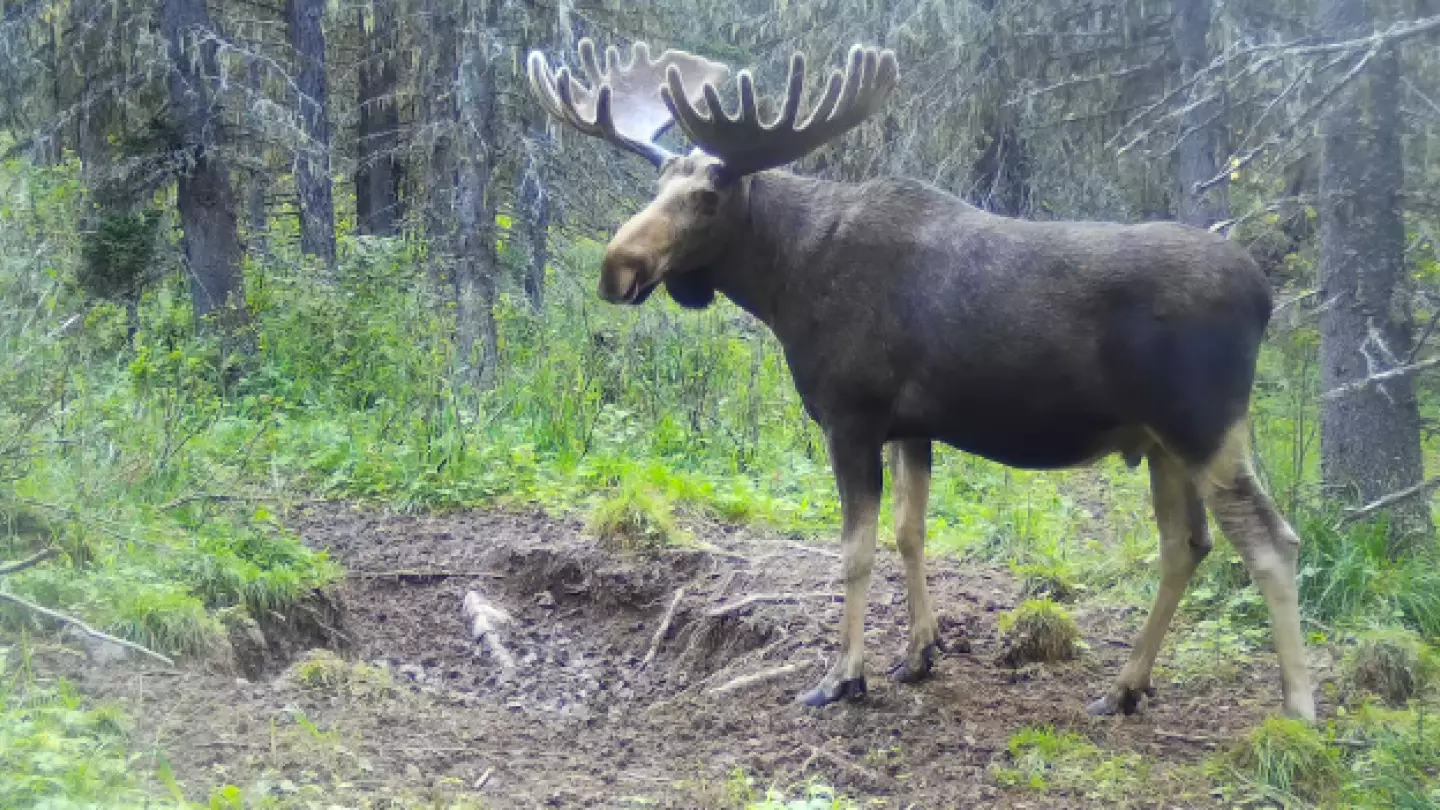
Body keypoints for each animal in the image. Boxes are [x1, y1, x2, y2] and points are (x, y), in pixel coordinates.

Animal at [527, 37, 1319, 717]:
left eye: (709, 197)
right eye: (659, 182)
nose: (617, 267)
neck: (784, 285)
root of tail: (1264, 297)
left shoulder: (850, 414)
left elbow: (855, 550)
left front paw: (843, 677)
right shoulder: (913, 425)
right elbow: (910, 533)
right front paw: (918, 653)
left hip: (1204, 423)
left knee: (1272, 542)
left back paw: (1297, 709)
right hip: (1159, 442)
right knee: (1187, 544)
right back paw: (1126, 688)